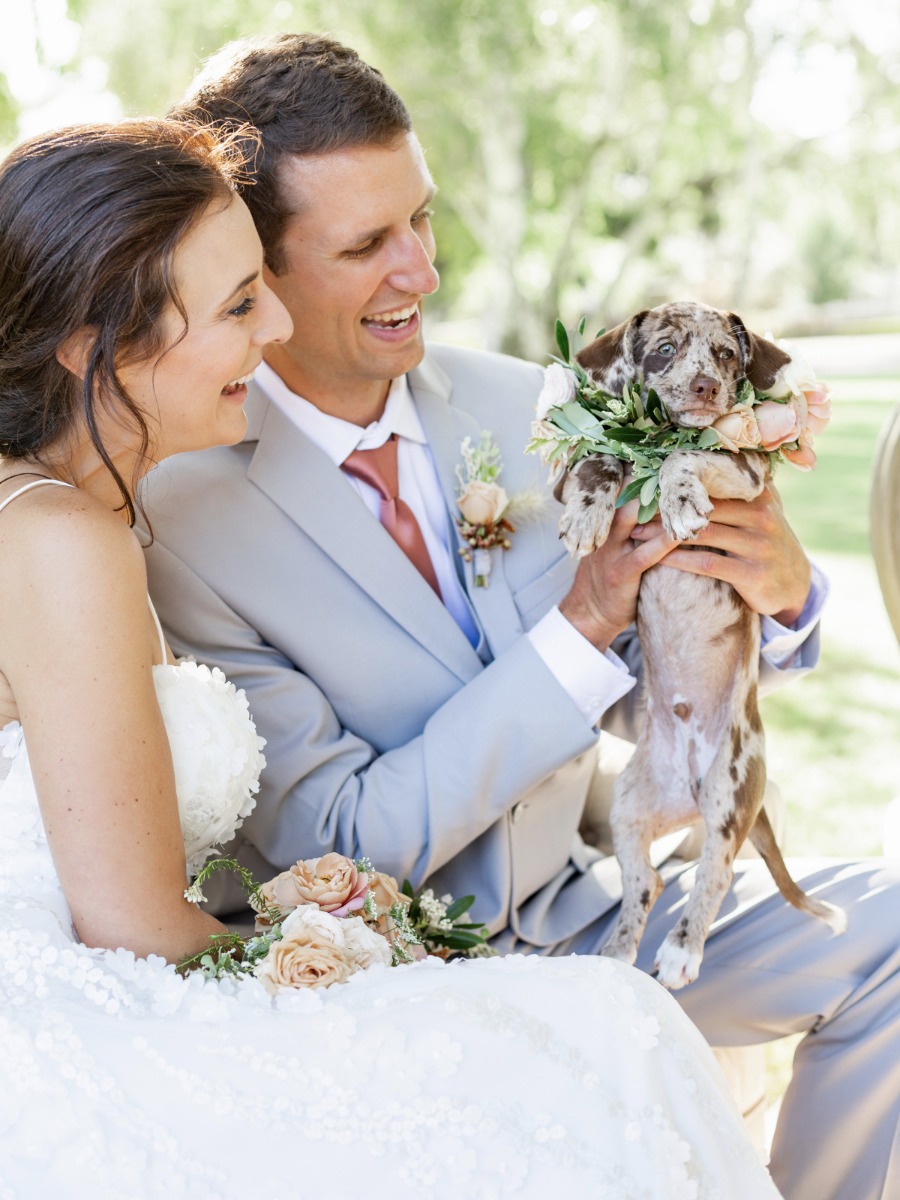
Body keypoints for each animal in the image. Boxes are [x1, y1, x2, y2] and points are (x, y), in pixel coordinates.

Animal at [561, 302, 849, 993]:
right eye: (664, 349)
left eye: (725, 354)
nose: (705, 388)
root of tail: (687, 791)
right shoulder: (601, 456)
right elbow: (599, 457)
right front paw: (587, 508)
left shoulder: (741, 468)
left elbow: (682, 459)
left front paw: (682, 497)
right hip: (629, 807)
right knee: (649, 879)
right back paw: (616, 954)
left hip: (728, 793)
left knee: (712, 875)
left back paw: (680, 951)